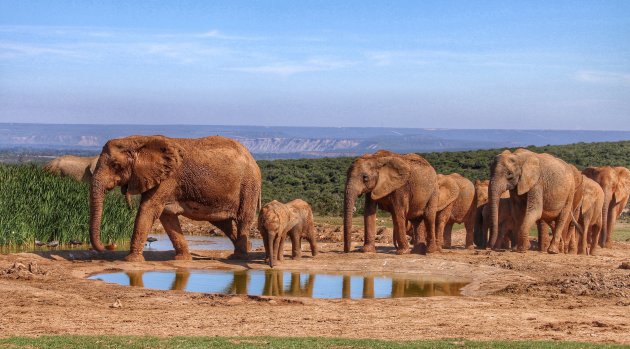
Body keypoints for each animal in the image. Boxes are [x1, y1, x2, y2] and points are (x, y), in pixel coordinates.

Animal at [89, 135, 262, 260]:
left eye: (115, 165)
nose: (109, 245)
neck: (139, 140)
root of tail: (252, 157)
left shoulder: (168, 179)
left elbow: (148, 209)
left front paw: (131, 260)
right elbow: (167, 216)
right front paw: (183, 259)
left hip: (249, 184)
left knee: (243, 218)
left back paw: (239, 257)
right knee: (223, 223)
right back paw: (246, 249)